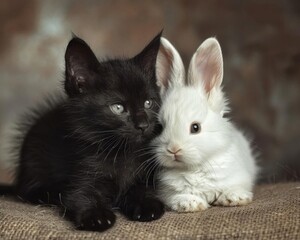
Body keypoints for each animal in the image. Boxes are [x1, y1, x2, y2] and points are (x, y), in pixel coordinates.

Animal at [14, 32, 164, 232]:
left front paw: (147, 204)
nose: (143, 124)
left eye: (148, 103)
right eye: (117, 108)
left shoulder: (146, 172)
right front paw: (97, 215)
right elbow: (81, 195)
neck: (121, 153)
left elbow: (143, 188)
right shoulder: (83, 172)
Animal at [154, 37, 258, 212]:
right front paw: (191, 203)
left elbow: (235, 187)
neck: (194, 167)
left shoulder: (240, 177)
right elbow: (175, 197)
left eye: (195, 127)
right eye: (159, 127)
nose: (173, 149)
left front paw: (234, 198)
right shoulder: (164, 193)